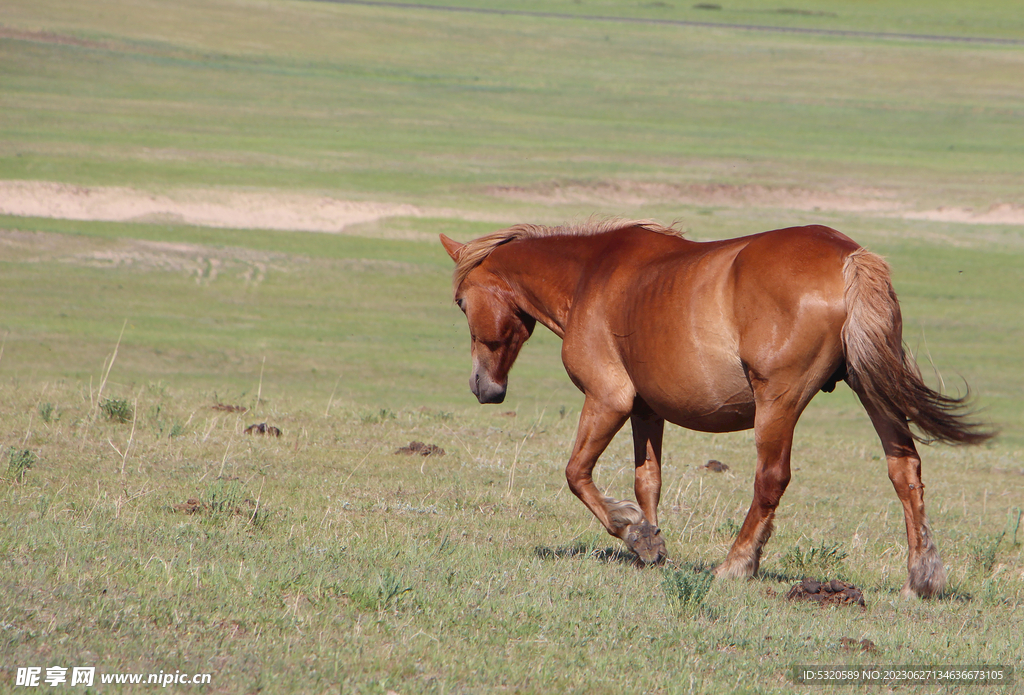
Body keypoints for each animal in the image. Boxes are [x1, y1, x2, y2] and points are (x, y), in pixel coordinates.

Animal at [442, 221, 991, 597]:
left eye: (462, 304)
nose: (482, 388)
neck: (589, 278)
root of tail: (847, 256)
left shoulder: (607, 399)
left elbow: (577, 473)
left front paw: (631, 532)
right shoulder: (646, 411)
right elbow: (647, 481)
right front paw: (651, 544)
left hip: (779, 403)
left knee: (771, 479)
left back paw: (736, 564)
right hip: (873, 391)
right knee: (905, 471)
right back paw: (921, 577)